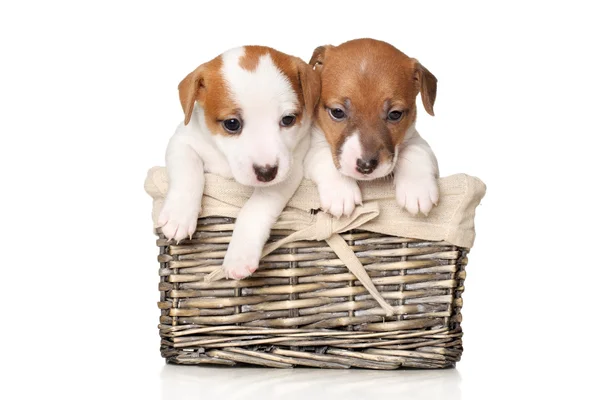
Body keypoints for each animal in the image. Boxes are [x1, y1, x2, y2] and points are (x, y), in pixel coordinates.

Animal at [157, 46, 322, 278]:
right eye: (232, 123)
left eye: (288, 119)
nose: (266, 173)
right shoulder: (182, 141)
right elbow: (187, 173)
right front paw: (179, 215)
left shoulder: (290, 170)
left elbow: (255, 208)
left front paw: (240, 255)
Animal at [304, 39, 440, 217]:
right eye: (337, 112)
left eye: (395, 114)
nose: (366, 165)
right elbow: (322, 154)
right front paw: (340, 192)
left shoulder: (415, 139)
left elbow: (416, 150)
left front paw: (417, 189)